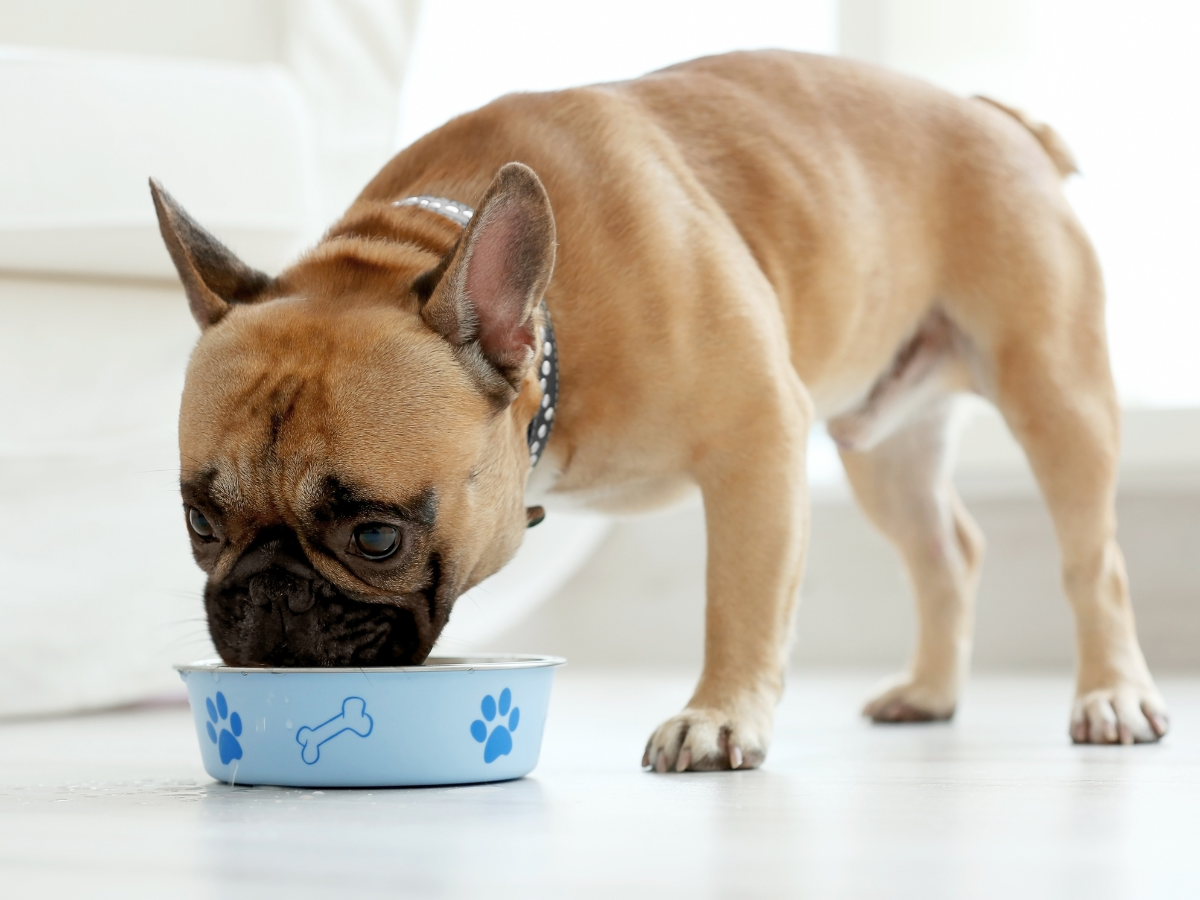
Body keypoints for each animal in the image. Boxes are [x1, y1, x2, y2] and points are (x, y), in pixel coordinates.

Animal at [152, 49, 1171, 772]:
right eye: (199, 524)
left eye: (377, 537)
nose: (268, 594)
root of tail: (1001, 120)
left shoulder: (759, 439)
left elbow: (742, 600)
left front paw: (718, 718)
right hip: (886, 450)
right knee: (946, 552)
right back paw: (929, 692)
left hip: (1057, 393)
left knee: (1096, 563)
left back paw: (1113, 696)